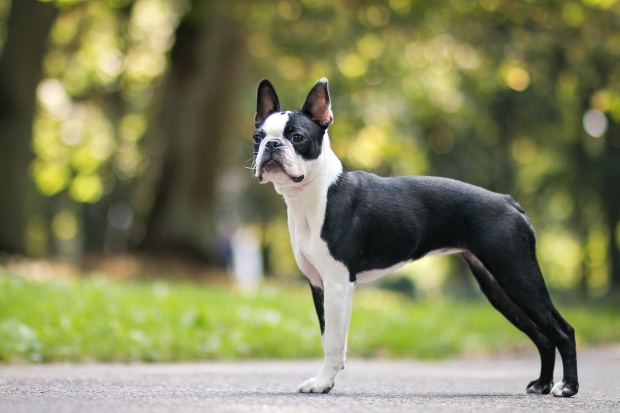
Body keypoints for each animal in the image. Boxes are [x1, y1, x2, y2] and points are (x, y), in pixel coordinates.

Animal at [251, 78, 576, 396]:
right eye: (257, 137)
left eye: (297, 137)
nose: (272, 144)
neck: (314, 194)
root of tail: (509, 202)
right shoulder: (319, 284)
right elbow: (327, 335)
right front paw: (326, 381)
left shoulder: (338, 282)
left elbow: (333, 341)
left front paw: (322, 384)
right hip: (498, 287)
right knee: (542, 335)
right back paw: (542, 384)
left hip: (517, 276)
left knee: (562, 330)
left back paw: (567, 387)